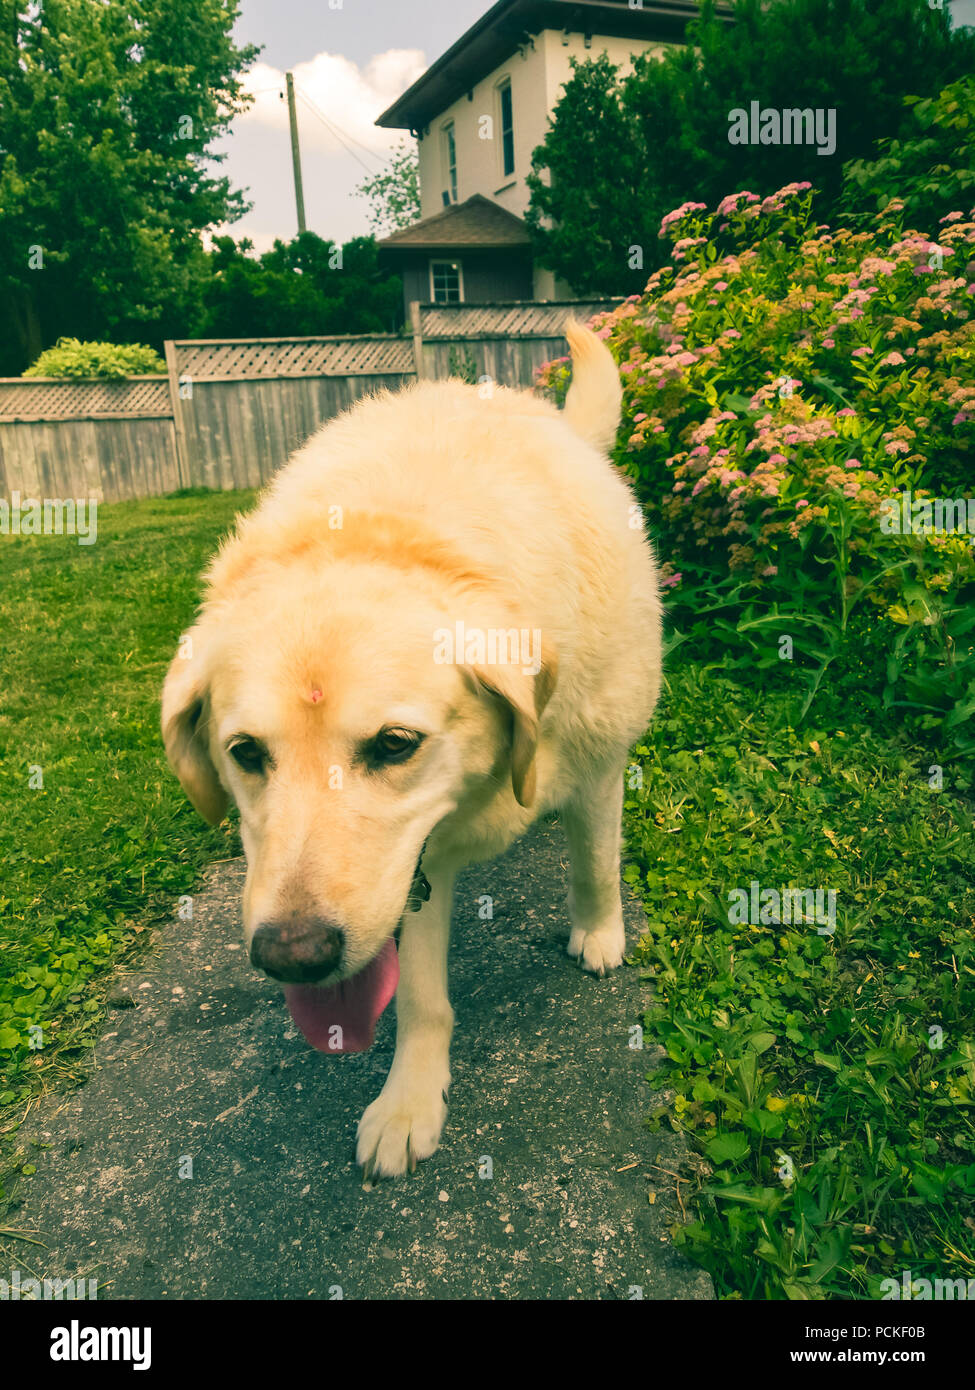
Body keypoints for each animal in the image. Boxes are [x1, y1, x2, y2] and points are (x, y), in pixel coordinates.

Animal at [161, 322, 662, 1173]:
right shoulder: (418, 874)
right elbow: (421, 997)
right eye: (245, 753)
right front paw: (409, 1102)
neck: (398, 530)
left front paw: (598, 934)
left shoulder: (596, 761)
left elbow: (595, 860)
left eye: (395, 745)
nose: (292, 954)